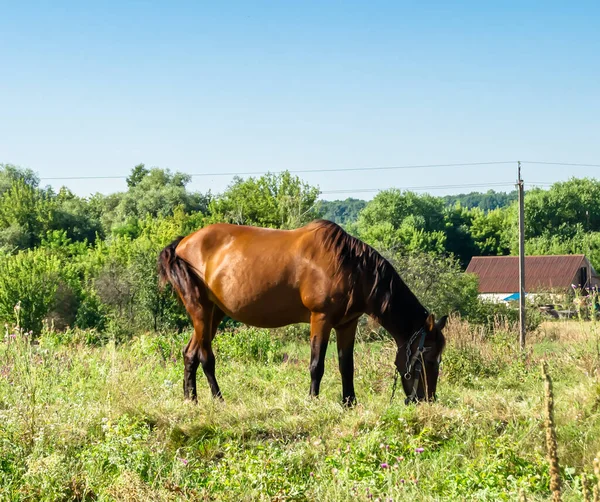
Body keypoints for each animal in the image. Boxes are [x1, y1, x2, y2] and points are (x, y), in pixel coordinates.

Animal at [157, 222, 448, 406]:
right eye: (427, 358)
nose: (427, 399)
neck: (351, 267)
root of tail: (181, 245)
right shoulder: (320, 318)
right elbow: (317, 364)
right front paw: (313, 400)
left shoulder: (347, 324)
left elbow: (346, 366)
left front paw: (349, 403)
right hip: (201, 310)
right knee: (206, 356)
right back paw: (218, 399)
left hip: (213, 314)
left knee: (190, 353)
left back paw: (191, 400)